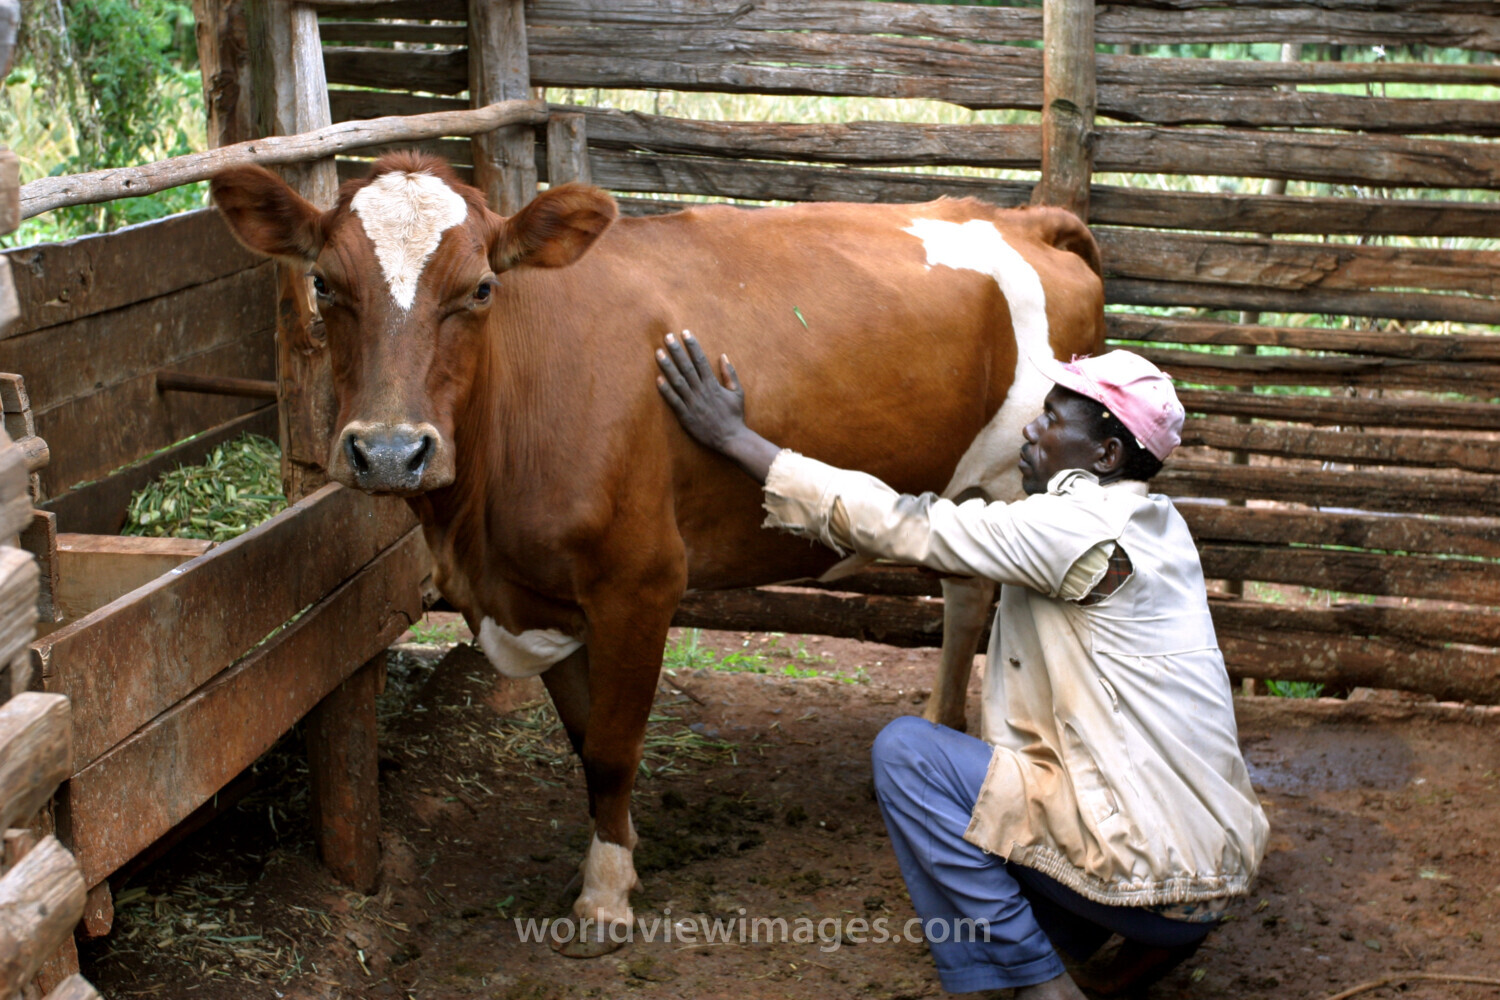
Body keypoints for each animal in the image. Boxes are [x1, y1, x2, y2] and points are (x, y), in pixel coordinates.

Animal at [210, 152, 1105, 955]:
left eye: (481, 288)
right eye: (324, 285)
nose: (391, 453)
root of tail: (1022, 218)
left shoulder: (639, 581)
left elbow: (613, 746)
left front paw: (605, 895)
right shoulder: (534, 599)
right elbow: (584, 740)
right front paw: (622, 851)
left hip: (1017, 486)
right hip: (969, 488)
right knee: (965, 594)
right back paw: (940, 722)